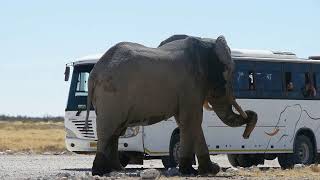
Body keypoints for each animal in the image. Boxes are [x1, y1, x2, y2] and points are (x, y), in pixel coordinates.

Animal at [84, 34, 258, 176]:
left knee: (115, 131)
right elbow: (192, 120)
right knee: (108, 130)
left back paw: (115, 169)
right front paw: (190, 172)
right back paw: (99, 171)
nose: (246, 135)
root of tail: (95, 72)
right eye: (230, 71)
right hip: (112, 95)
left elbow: (188, 122)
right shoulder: (190, 85)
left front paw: (209, 170)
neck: (205, 43)